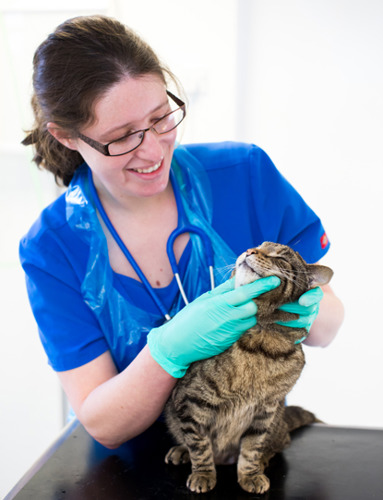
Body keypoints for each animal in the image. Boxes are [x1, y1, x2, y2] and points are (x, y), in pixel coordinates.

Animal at [164, 241, 332, 492]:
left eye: (280, 257)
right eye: (259, 246)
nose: (249, 251)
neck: (259, 341)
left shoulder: (265, 410)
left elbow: (252, 448)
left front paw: (250, 475)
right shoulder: (191, 401)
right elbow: (200, 445)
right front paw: (203, 473)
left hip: (277, 423)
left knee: (279, 443)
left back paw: (262, 462)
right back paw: (182, 450)